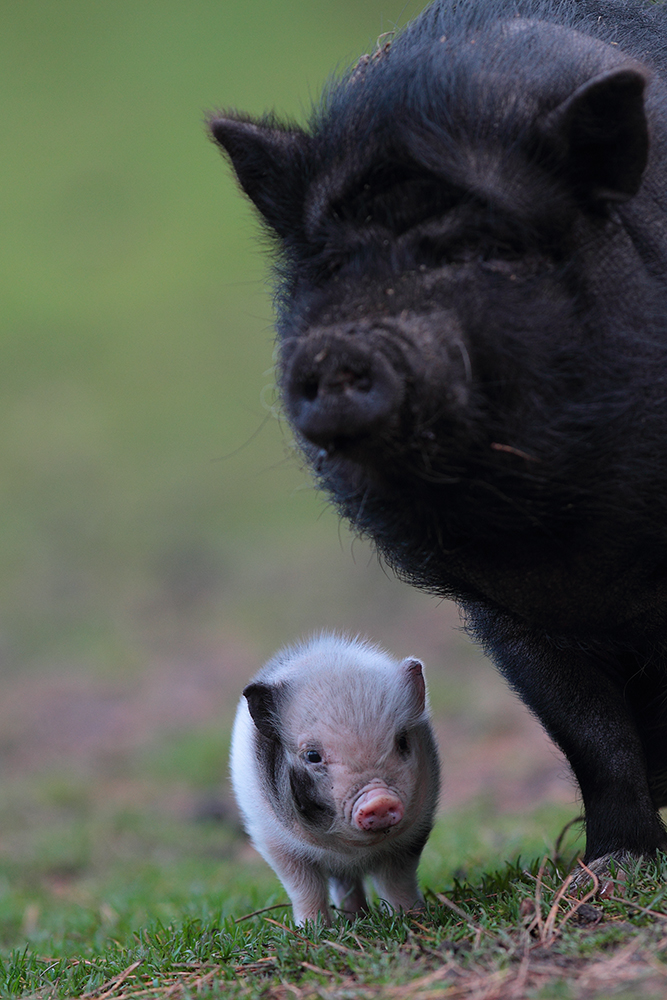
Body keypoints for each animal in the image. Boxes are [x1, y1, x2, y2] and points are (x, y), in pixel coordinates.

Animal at [210, 0, 667, 884]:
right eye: (330, 263)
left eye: (483, 249)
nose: (340, 348)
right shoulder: (507, 611)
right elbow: (589, 735)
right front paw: (611, 867)